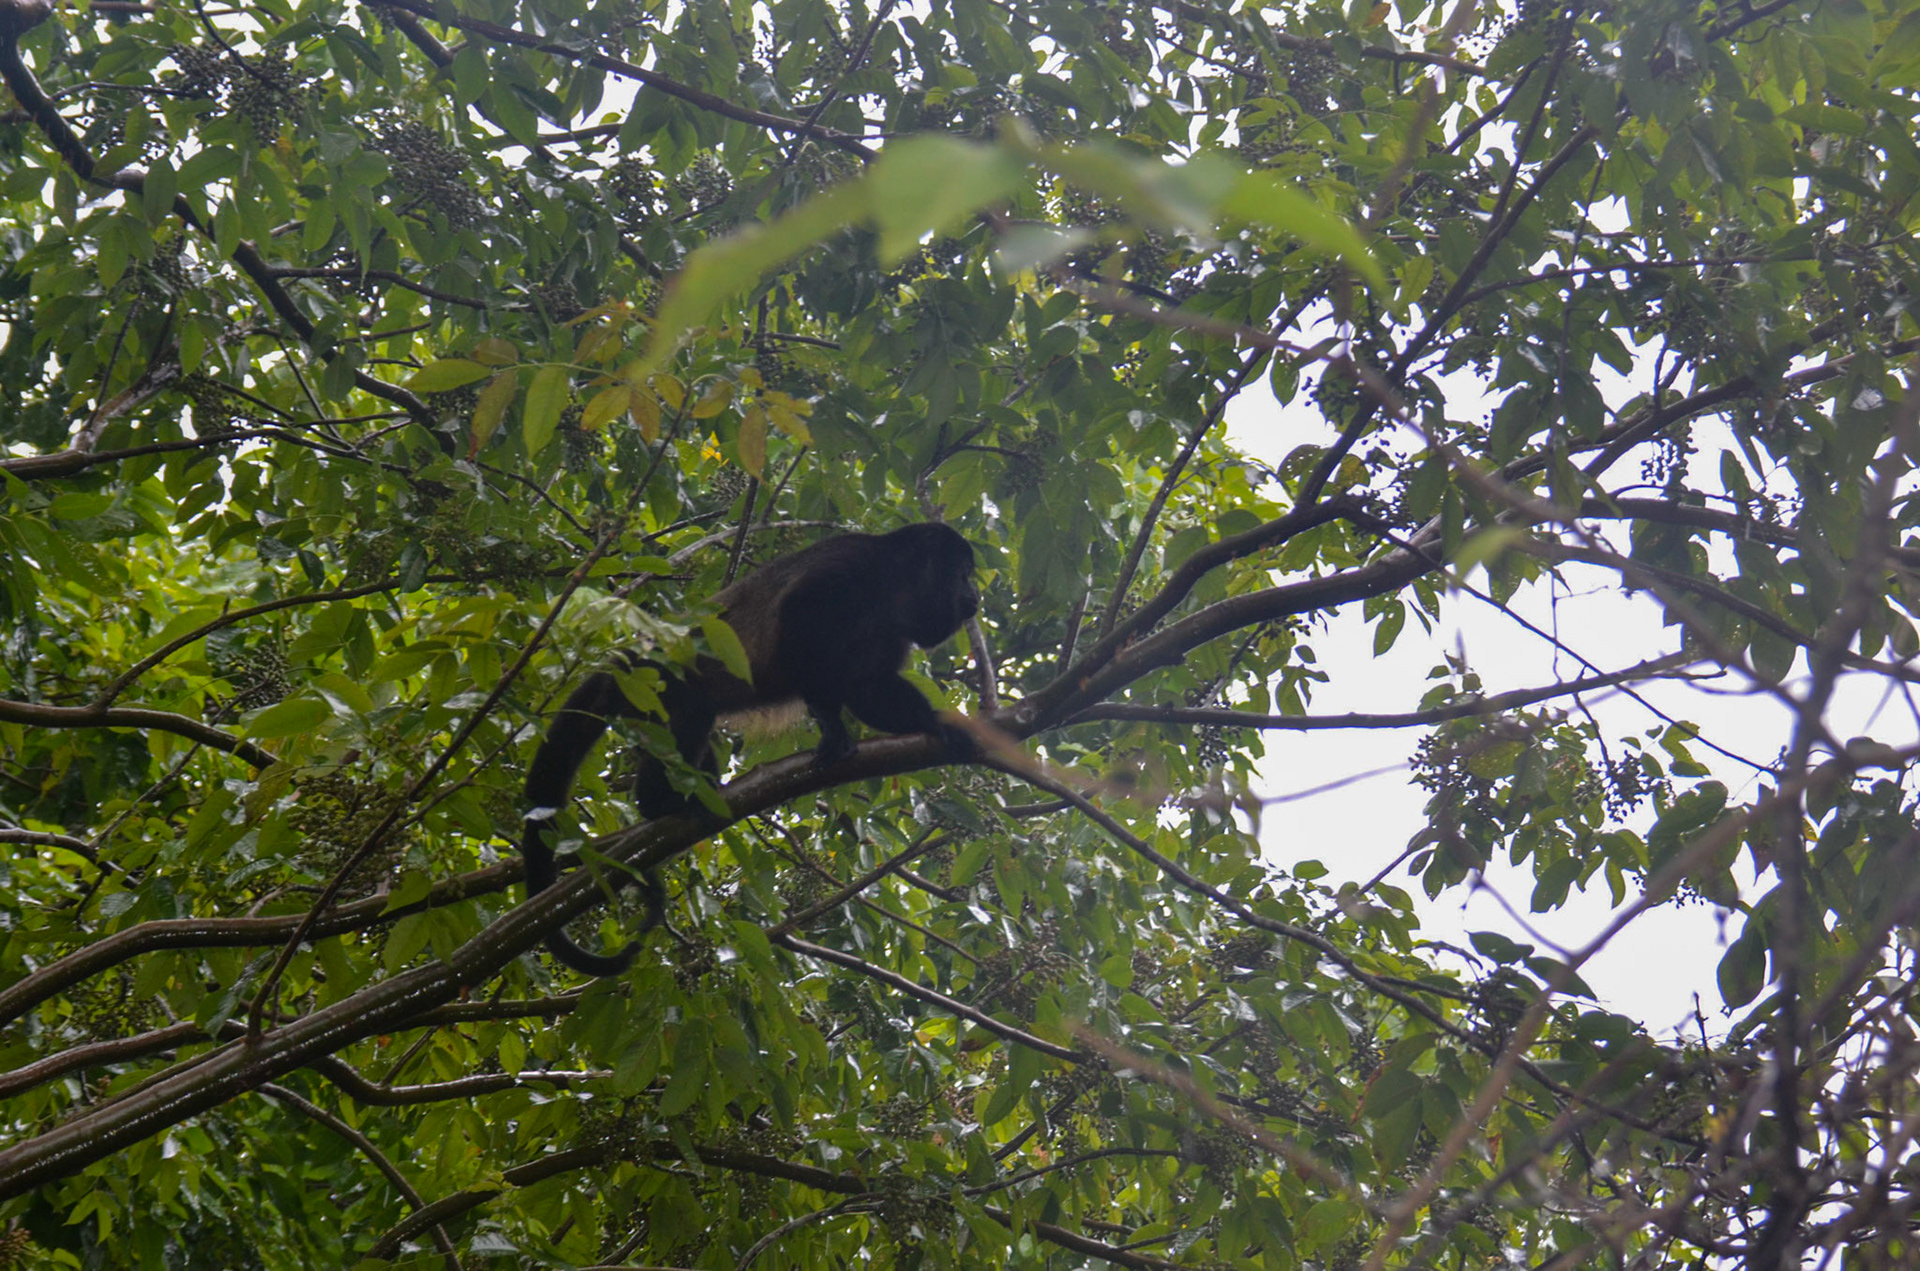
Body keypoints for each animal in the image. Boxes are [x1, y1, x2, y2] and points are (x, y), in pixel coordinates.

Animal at [520, 521, 980, 976]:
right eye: (964, 574)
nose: (975, 597)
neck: (890, 589)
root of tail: (626, 661)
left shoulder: (890, 635)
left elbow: (869, 690)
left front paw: (942, 724)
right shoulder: (844, 573)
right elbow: (799, 624)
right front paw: (831, 726)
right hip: (655, 685)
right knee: (693, 708)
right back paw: (659, 802)